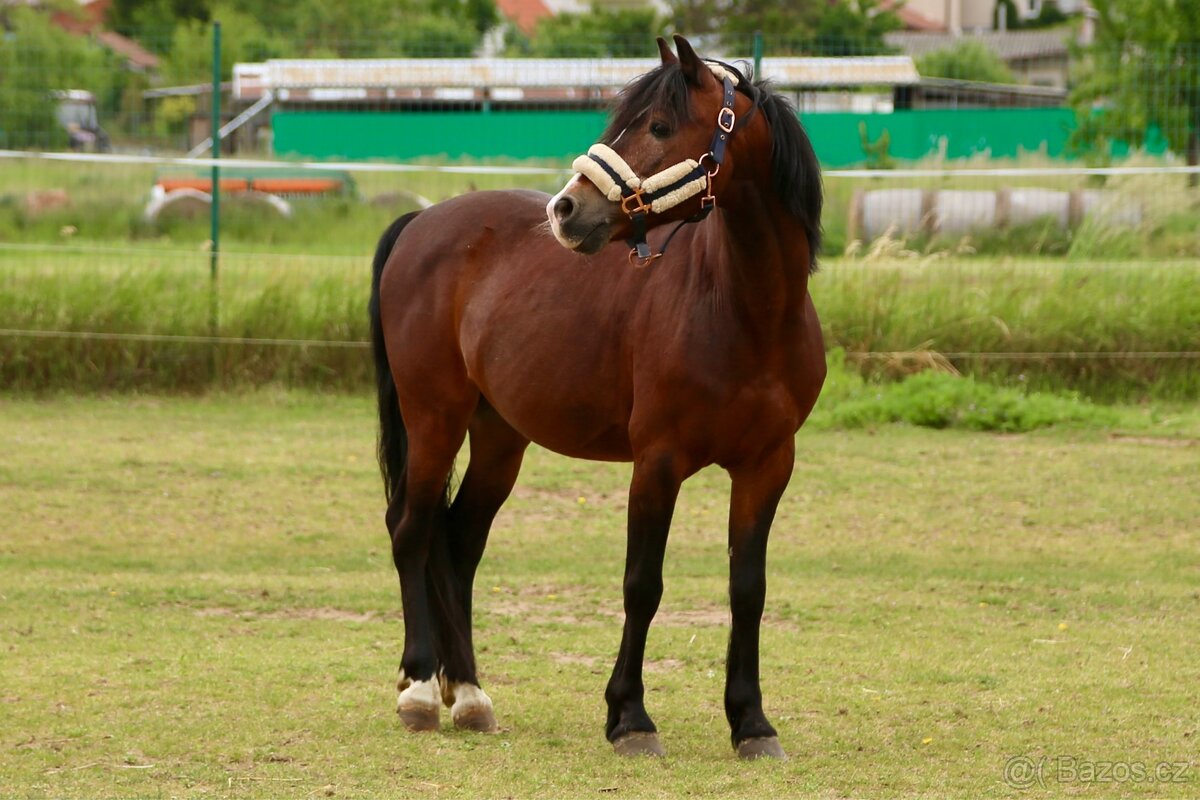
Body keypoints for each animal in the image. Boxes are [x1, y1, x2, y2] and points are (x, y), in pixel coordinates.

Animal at [368, 34, 825, 760]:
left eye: (659, 127)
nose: (566, 210)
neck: (744, 311)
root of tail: (420, 222)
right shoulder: (657, 462)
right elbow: (643, 584)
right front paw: (630, 717)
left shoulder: (768, 466)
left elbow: (747, 589)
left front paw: (751, 722)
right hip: (434, 420)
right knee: (411, 529)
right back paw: (418, 689)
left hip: (499, 436)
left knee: (458, 542)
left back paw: (468, 694)